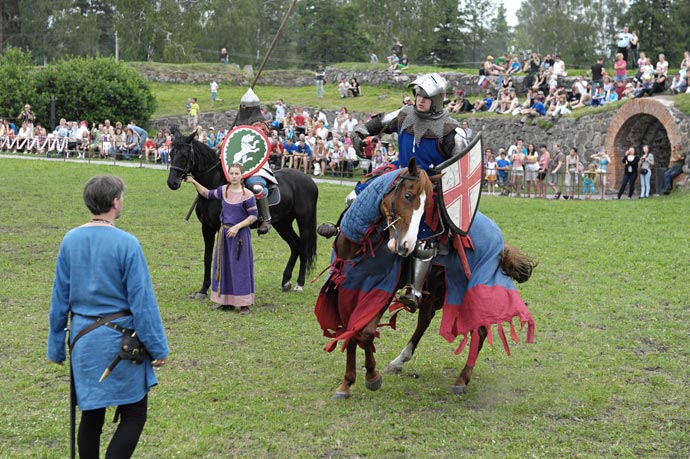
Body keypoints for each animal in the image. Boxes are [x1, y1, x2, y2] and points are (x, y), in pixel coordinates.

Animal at [167, 130, 318, 294]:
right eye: (171, 153)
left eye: (184, 154)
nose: (172, 183)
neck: (214, 185)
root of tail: (309, 180)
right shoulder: (207, 227)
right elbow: (207, 256)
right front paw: (203, 289)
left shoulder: (222, 227)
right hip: (282, 223)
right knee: (295, 245)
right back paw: (286, 281)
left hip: (304, 221)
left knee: (303, 247)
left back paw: (300, 283)